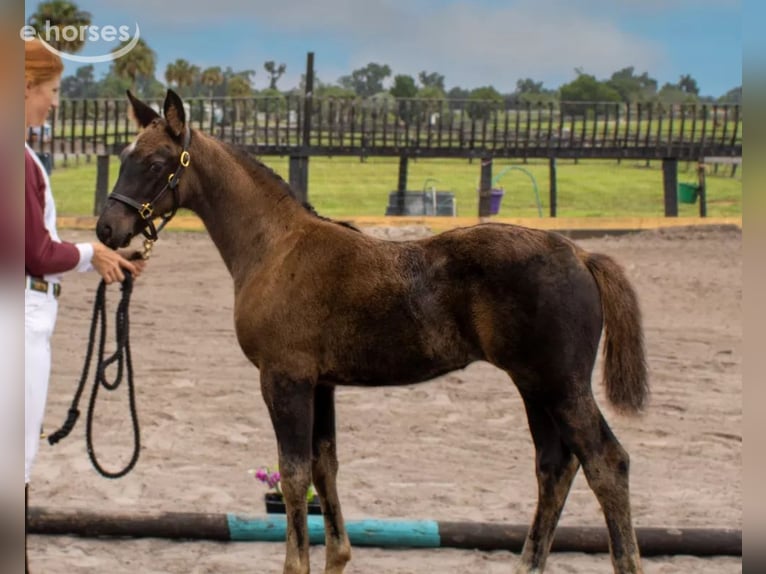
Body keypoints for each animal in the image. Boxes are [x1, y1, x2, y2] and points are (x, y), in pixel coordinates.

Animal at [96, 90, 649, 574]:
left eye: (156, 162)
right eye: (123, 156)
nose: (107, 229)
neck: (276, 246)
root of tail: (580, 254)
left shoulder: (285, 379)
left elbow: (294, 476)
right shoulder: (321, 384)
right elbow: (325, 467)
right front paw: (337, 555)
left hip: (559, 385)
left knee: (607, 462)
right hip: (535, 387)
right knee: (555, 467)